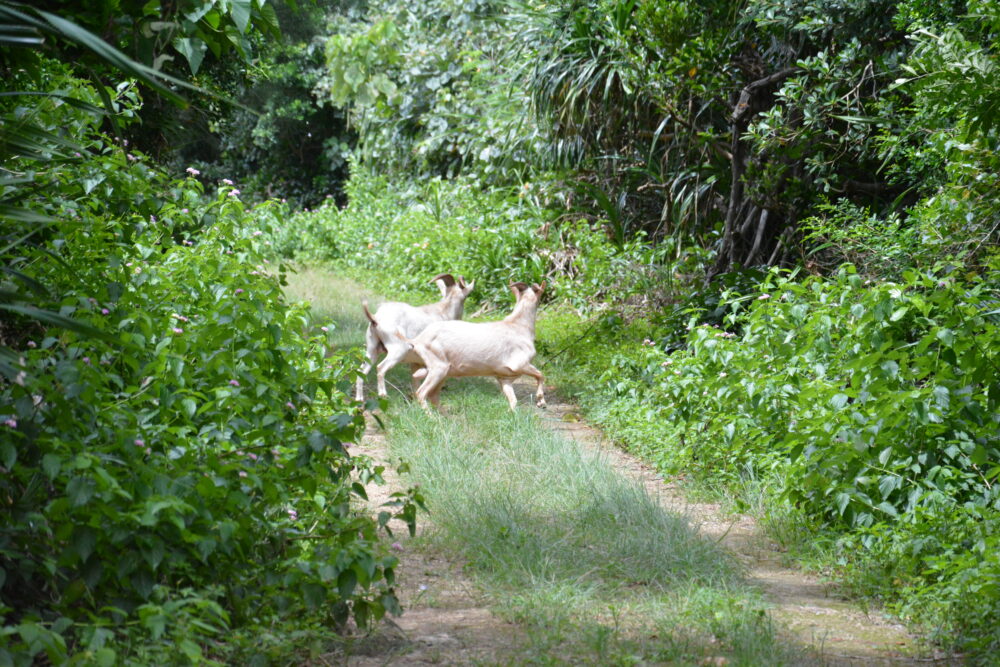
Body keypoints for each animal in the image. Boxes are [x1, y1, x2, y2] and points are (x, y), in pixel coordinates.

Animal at [356, 272, 472, 402]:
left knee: (361, 371)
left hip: (372, 350)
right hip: (399, 349)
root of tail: (376, 318)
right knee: (380, 368)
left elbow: (415, 379)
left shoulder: (416, 362)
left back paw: (359, 399)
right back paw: (383, 394)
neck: (443, 312)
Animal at [406, 280, 548, 410]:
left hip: (436, 370)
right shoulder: (520, 364)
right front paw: (541, 401)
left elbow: (513, 401)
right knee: (421, 393)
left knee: (431, 394)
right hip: (438, 367)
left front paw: (511, 413)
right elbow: (540, 375)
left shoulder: (504, 377)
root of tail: (418, 339)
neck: (519, 326)